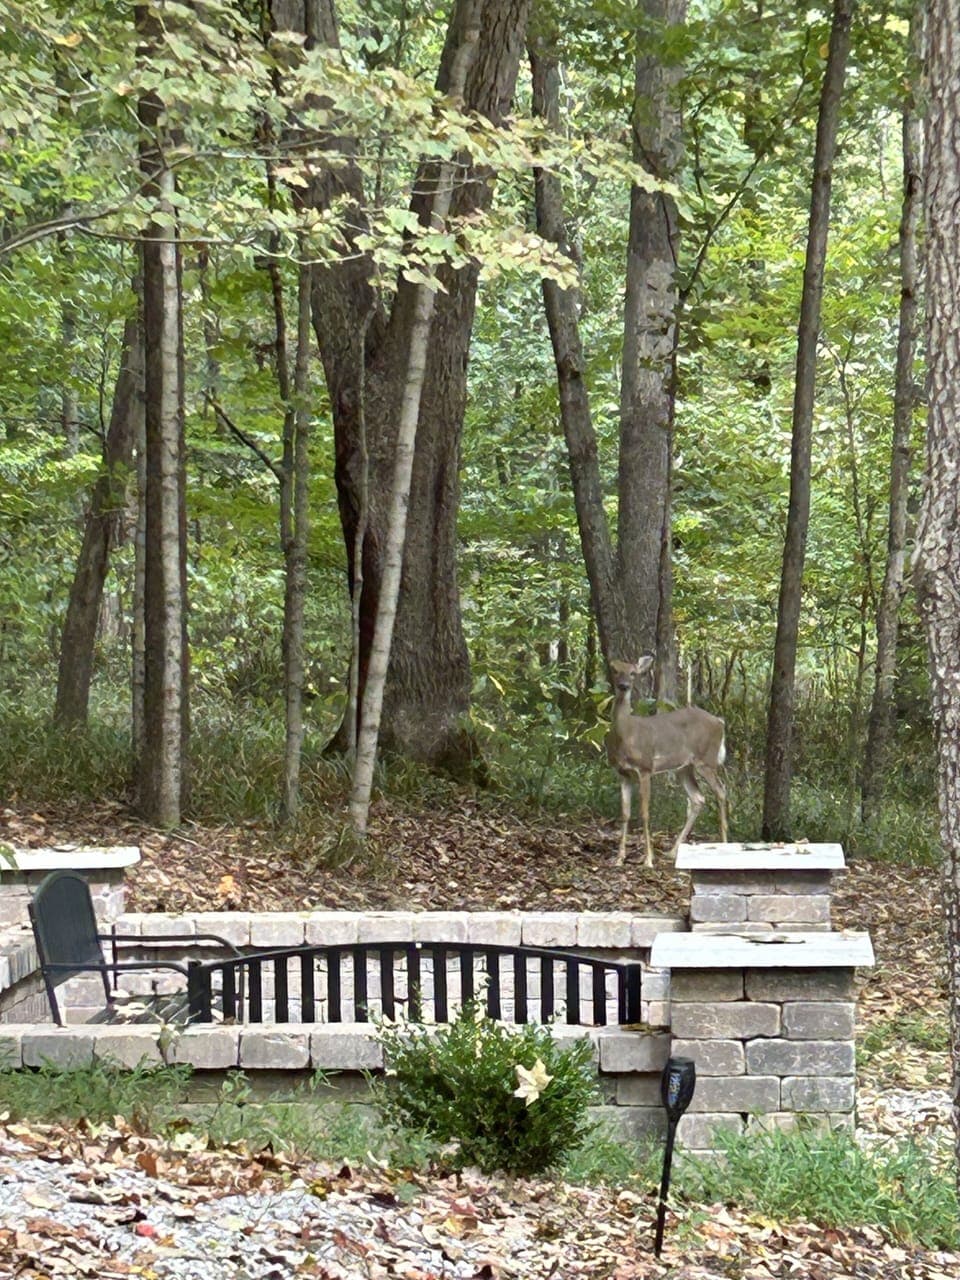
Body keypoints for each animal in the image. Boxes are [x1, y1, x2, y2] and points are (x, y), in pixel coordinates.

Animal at [606, 657, 728, 867]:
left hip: (706, 759)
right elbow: (625, 813)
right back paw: (672, 852)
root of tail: (720, 722)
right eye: (614, 670)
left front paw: (648, 859)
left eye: (632, 673)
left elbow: (644, 812)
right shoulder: (623, 773)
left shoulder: (645, 767)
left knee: (721, 791)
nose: (624, 686)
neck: (627, 734)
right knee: (698, 798)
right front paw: (619, 858)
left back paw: (725, 844)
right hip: (684, 767)